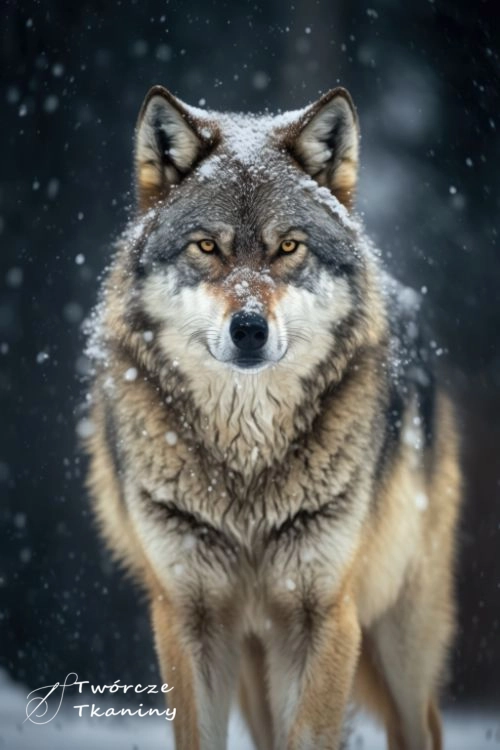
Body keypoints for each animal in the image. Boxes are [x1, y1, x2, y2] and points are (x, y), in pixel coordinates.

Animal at [84, 84, 461, 750]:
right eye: (207, 246)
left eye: (288, 246)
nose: (250, 329)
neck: (247, 461)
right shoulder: (188, 615)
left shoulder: (325, 615)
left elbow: (310, 734)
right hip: (258, 657)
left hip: (401, 636)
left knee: (422, 725)